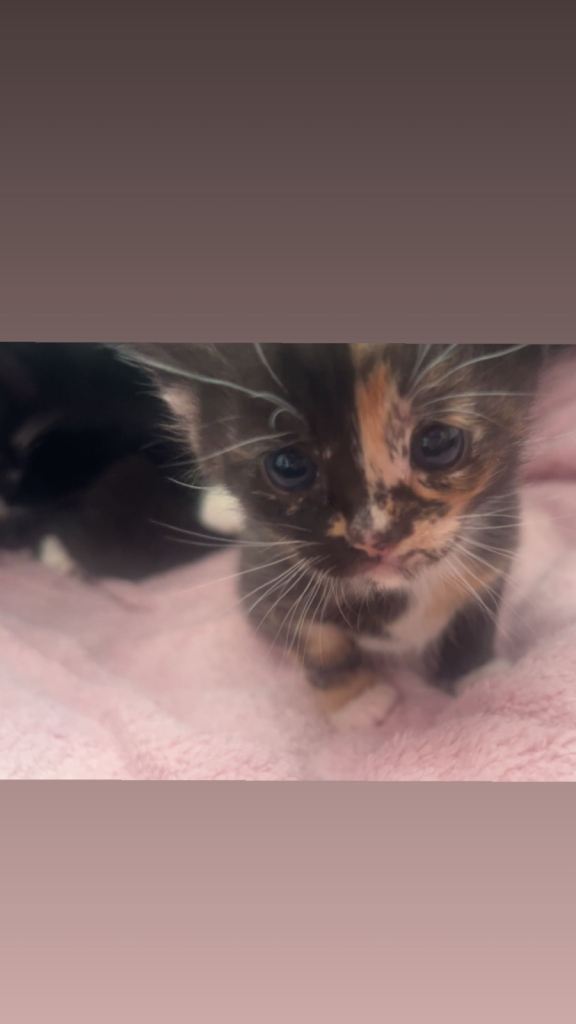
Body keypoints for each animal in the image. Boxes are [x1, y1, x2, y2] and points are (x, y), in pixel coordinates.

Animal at [122, 342, 547, 716]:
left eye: (438, 441)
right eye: (288, 466)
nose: (374, 537)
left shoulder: (496, 551)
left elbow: (475, 613)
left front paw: (474, 673)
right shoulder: (267, 581)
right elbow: (318, 643)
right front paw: (357, 701)